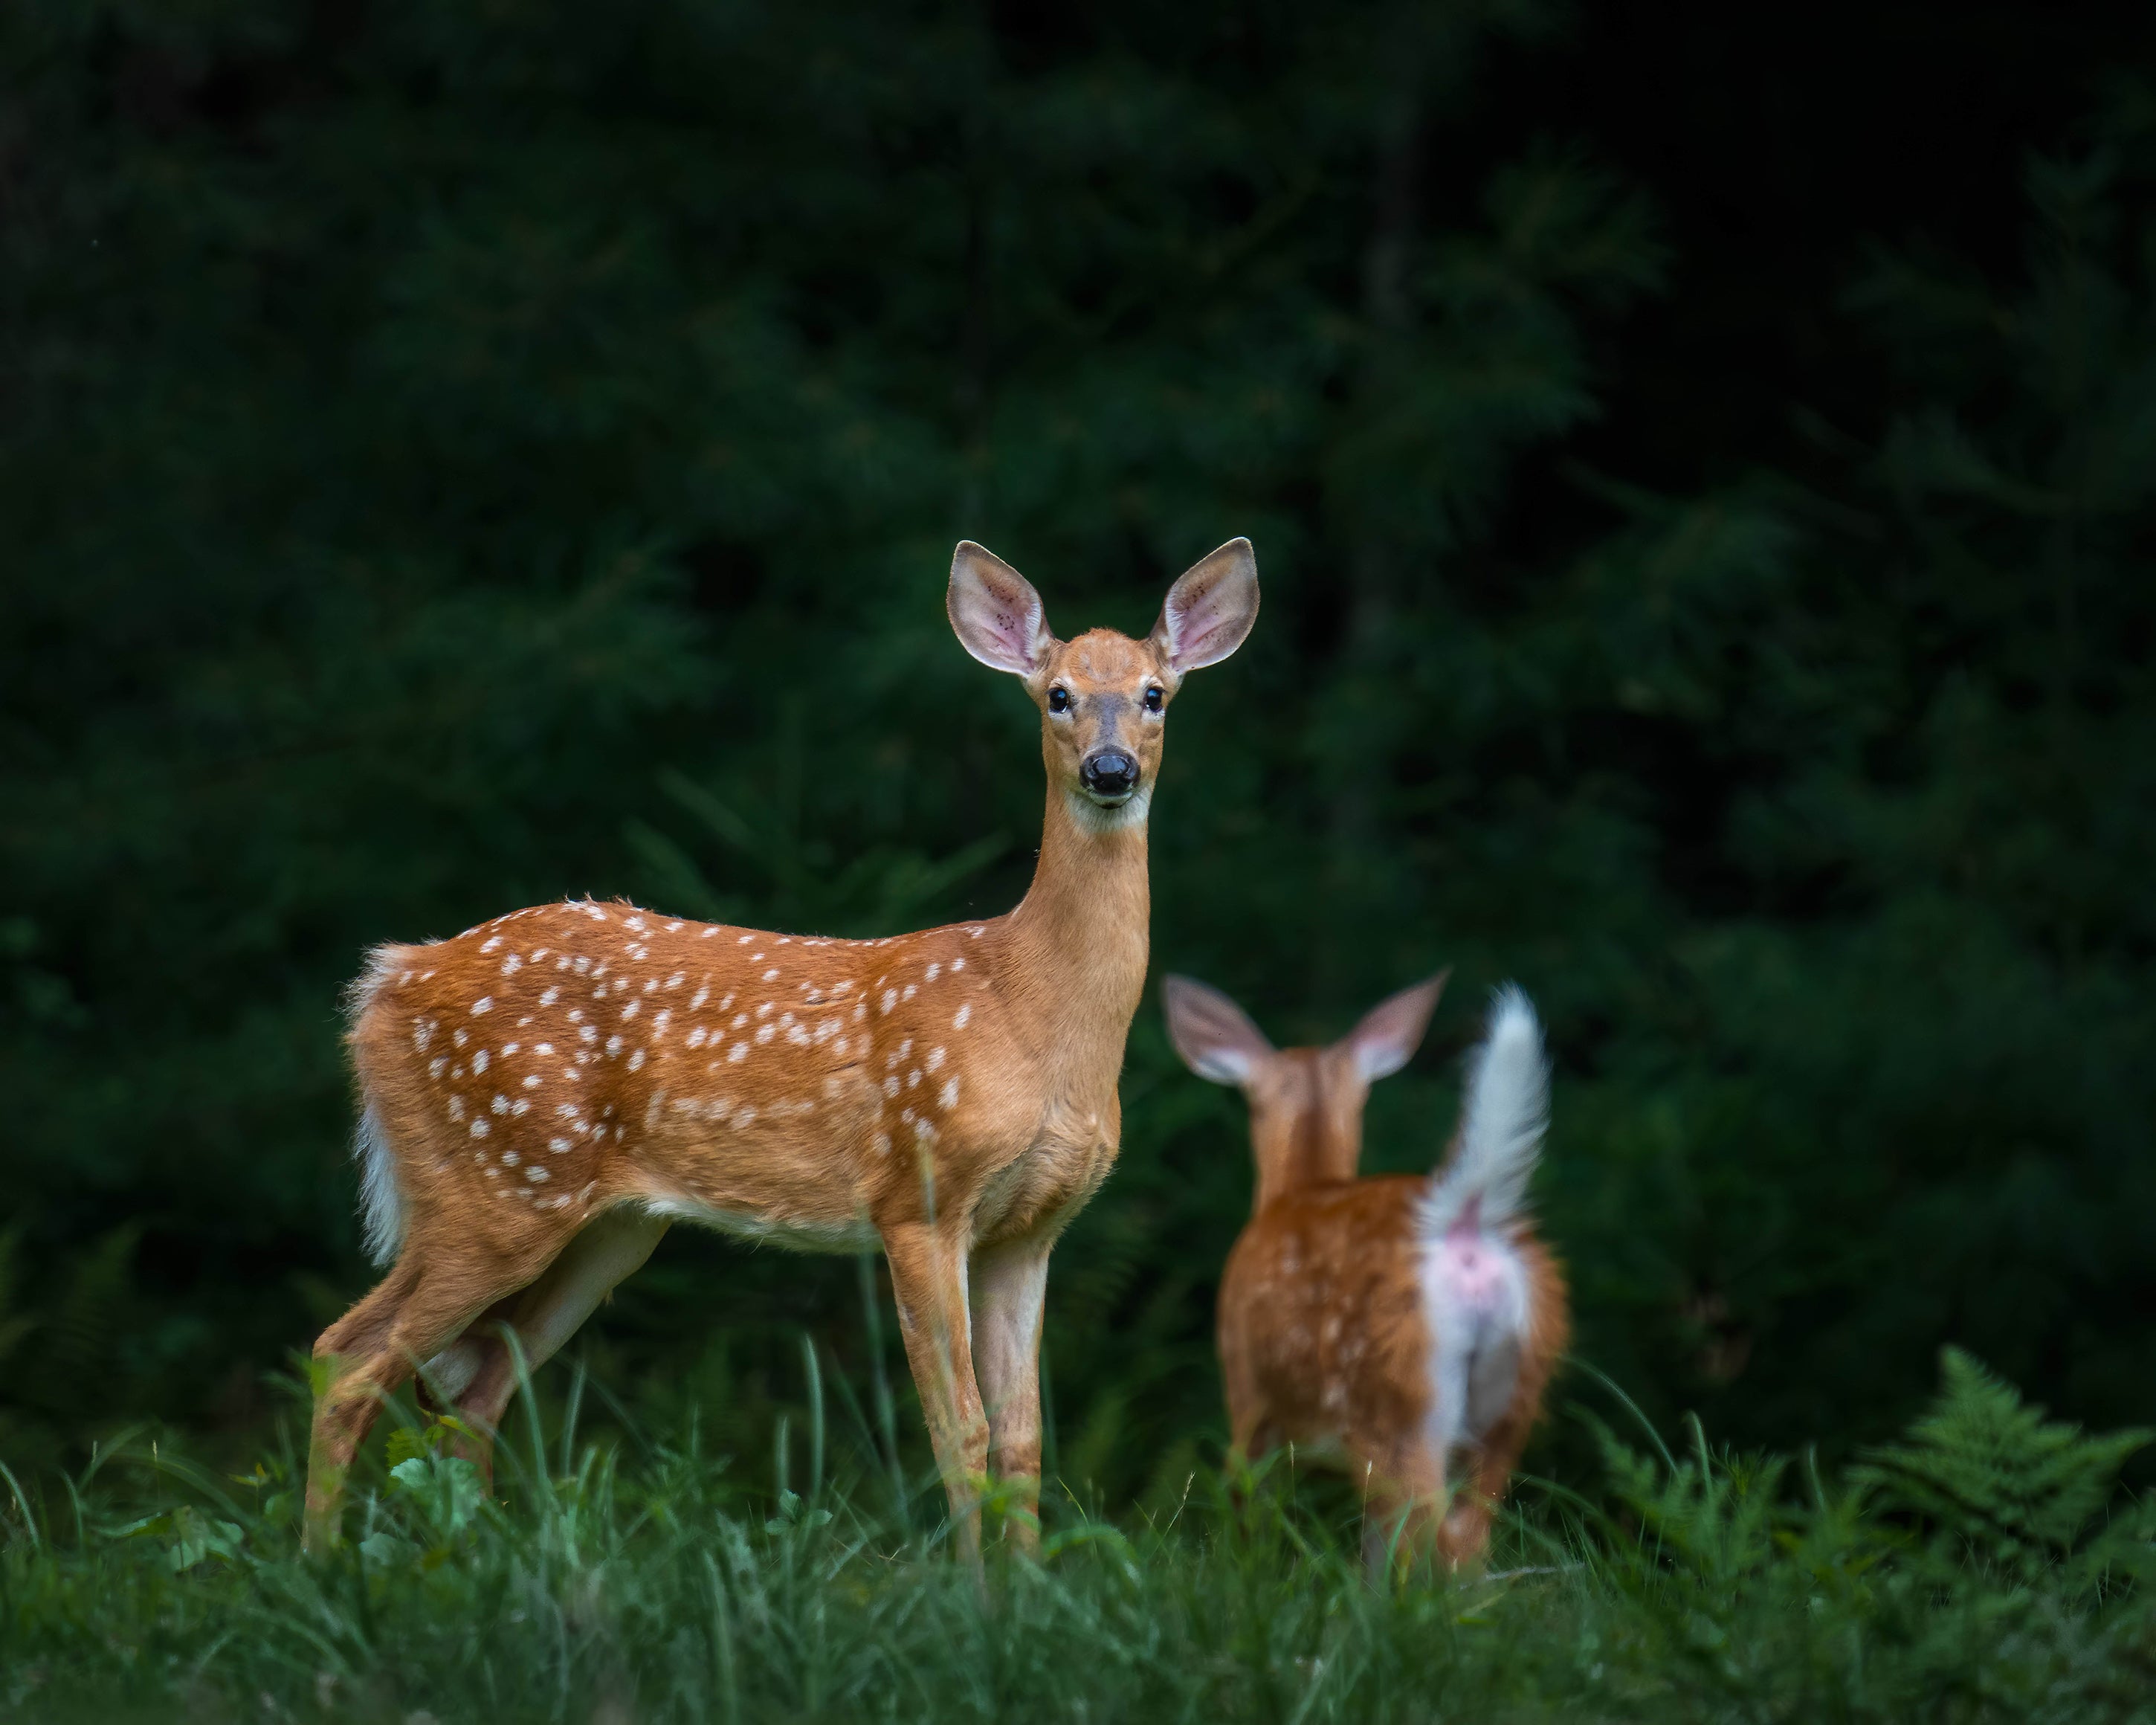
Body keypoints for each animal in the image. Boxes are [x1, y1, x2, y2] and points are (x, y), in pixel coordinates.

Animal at [295, 543, 1259, 1561]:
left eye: (1155, 694)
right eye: (1058, 695)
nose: (1110, 769)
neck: (1032, 1011)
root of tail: (386, 984)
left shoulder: (1031, 1228)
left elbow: (1025, 1436)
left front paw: (1031, 1589)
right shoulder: (917, 1195)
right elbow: (958, 1425)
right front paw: (975, 1592)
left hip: (602, 1225)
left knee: (469, 1385)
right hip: (492, 1186)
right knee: (348, 1357)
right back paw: (322, 1567)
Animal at [1164, 978, 1569, 1570]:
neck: (1299, 1188)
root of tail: (1464, 1223)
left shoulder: (1247, 1392)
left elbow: (1248, 1509)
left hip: (1396, 1398)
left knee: (1430, 1539)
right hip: (1515, 1396)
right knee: (1465, 1538)